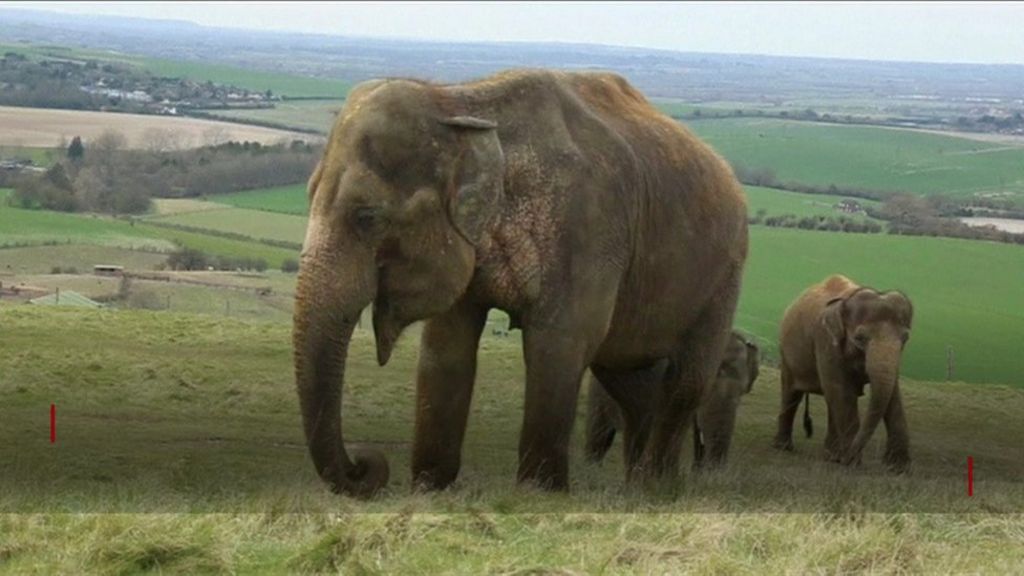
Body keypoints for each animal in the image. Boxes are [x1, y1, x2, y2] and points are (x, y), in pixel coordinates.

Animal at [772, 274, 913, 472]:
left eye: (905, 338)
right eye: (860, 339)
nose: (850, 457)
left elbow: (893, 394)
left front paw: (899, 469)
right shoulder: (825, 341)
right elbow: (842, 392)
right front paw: (852, 463)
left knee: (830, 399)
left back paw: (832, 456)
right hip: (786, 354)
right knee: (792, 394)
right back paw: (784, 447)